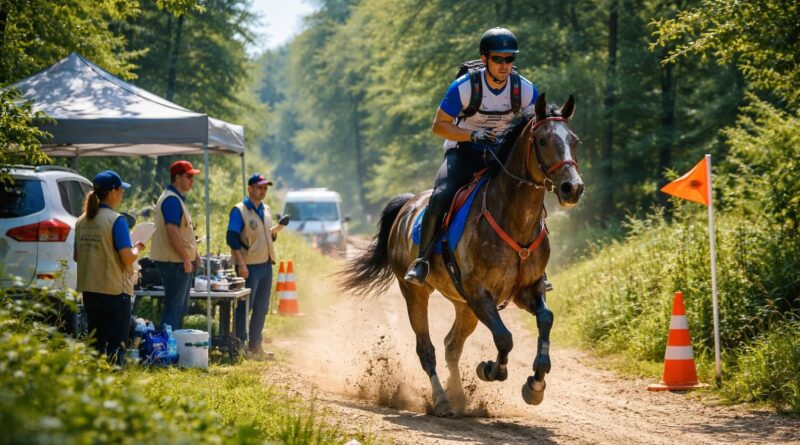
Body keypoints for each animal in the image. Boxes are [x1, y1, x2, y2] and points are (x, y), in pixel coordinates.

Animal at [340, 93, 584, 417]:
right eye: (542, 140)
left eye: (574, 140)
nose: (573, 188)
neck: (515, 218)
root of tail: (407, 205)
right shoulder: (480, 294)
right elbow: (504, 337)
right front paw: (491, 369)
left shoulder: (527, 290)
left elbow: (546, 319)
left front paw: (536, 384)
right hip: (416, 292)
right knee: (427, 348)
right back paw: (443, 400)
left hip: (464, 306)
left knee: (451, 345)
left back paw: (457, 394)